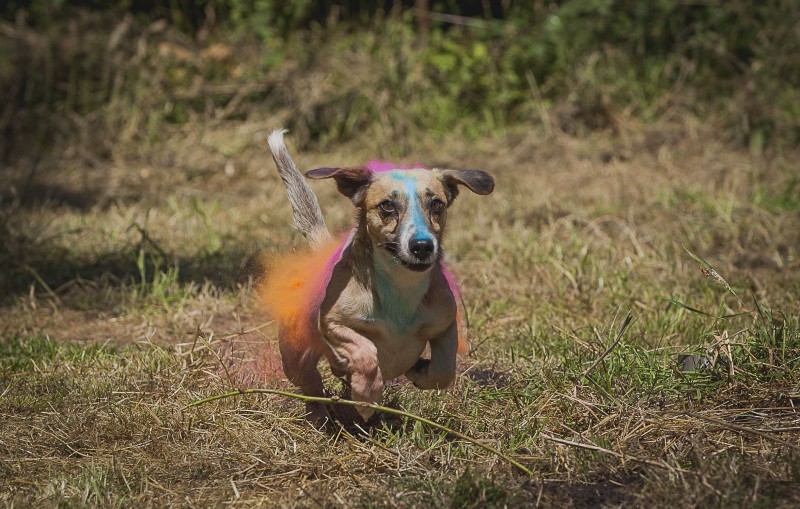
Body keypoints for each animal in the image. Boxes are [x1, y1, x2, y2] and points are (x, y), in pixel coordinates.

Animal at [260, 130, 494, 420]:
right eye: (387, 206)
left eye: (437, 204)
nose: (422, 246)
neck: (401, 285)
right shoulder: (333, 323)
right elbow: (366, 352)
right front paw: (366, 396)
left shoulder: (445, 324)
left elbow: (444, 369)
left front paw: (420, 371)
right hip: (295, 358)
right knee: (310, 382)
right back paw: (319, 411)